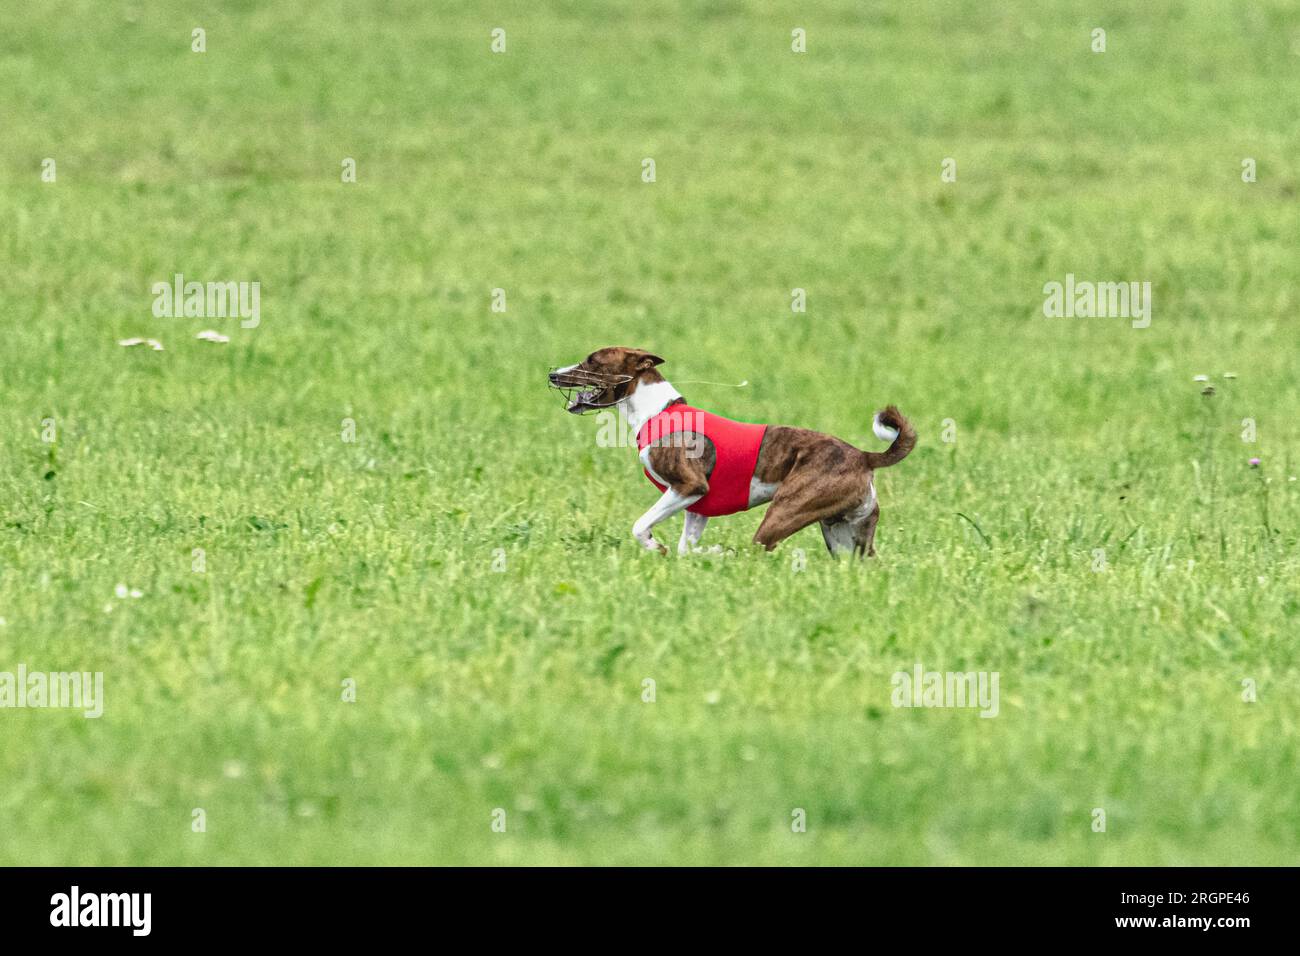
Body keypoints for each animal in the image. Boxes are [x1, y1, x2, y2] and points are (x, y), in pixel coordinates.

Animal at [548, 348, 915, 556]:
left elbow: (641, 527)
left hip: (785, 512)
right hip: (843, 535)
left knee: (758, 550)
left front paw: (656, 546)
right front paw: (705, 554)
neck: (658, 411)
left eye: (592, 361)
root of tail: (863, 455)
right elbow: (686, 549)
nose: (552, 373)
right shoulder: (697, 506)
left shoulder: (689, 486)